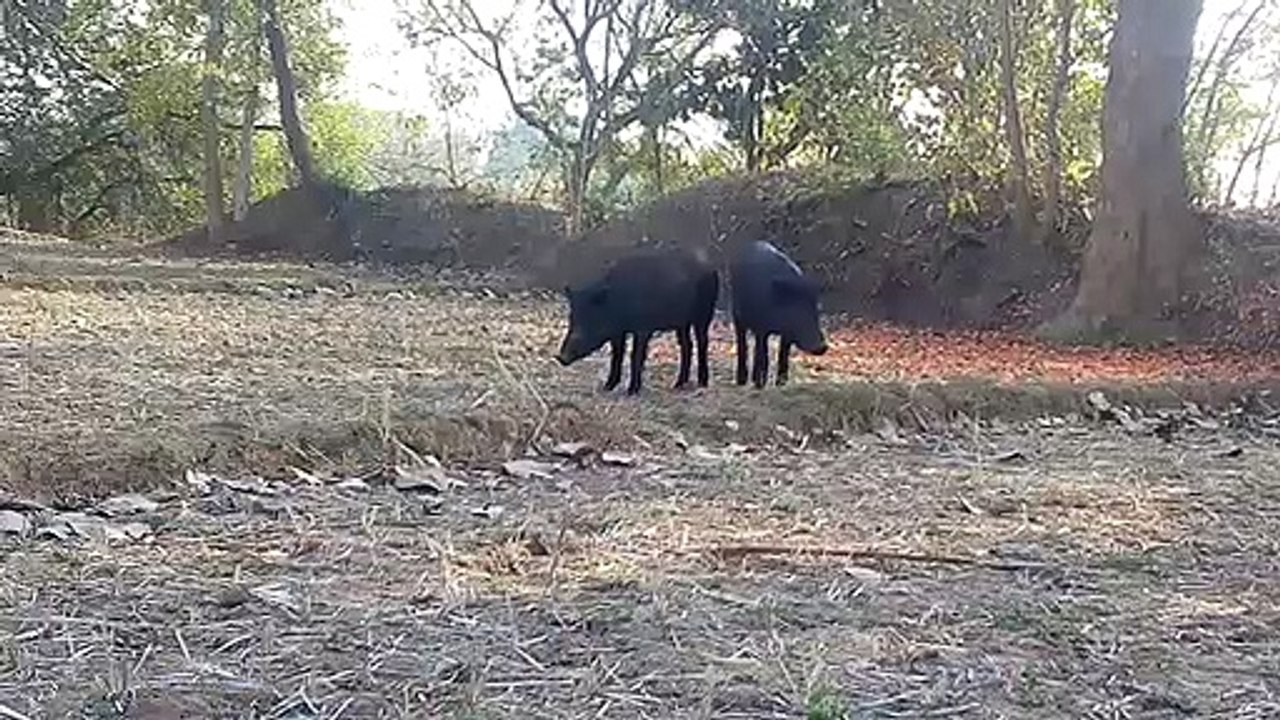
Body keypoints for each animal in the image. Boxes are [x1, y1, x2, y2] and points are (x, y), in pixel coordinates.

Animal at [556, 248, 719, 395]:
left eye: (590, 318)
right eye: (571, 317)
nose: (560, 357)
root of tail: (711, 265)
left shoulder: (642, 329)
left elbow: (635, 356)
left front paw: (631, 391)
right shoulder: (618, 332)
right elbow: (617, 355)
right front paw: (607, 387)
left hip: (704, 313)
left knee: (702, 342)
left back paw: (702, 384)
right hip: (682, 323)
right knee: (687, 345)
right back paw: (677, 385)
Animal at [730, 240, 828, 388]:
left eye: (816, 310)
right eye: (797, 310)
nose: (823, 346)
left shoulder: (787, 333)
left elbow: (783, 355)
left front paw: (781, 383)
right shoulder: (761, 328)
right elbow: (762, 354)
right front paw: (760, 384)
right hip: (737, 315)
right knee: (743, 345)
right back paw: (743, 381)